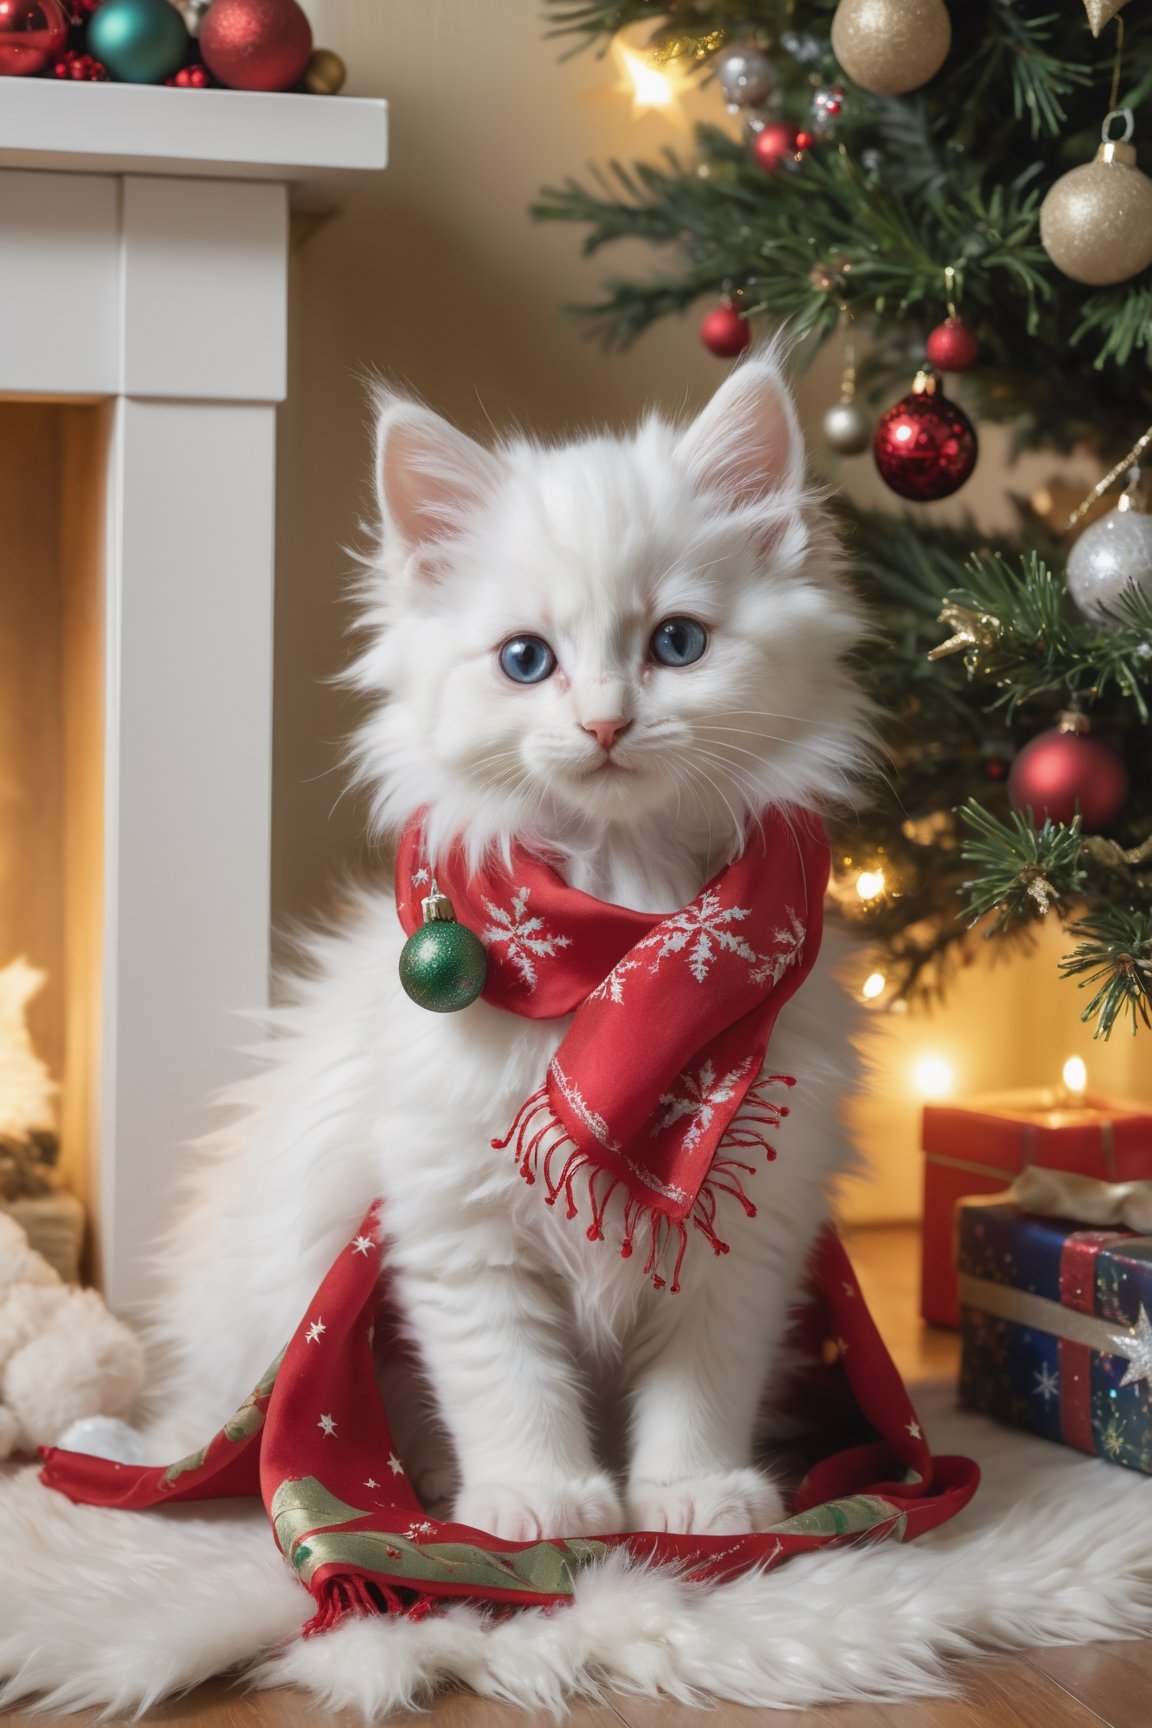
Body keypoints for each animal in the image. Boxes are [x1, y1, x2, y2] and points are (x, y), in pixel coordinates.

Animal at [144, 347, 870, 1541]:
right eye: (526, 660)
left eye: (677, 644)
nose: (606, 723)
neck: (617, 938)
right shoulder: (457, 1222)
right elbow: (508, 1380)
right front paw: (538, 1500)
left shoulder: (741, 1235)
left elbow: (702, 1381)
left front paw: (694, 1494)